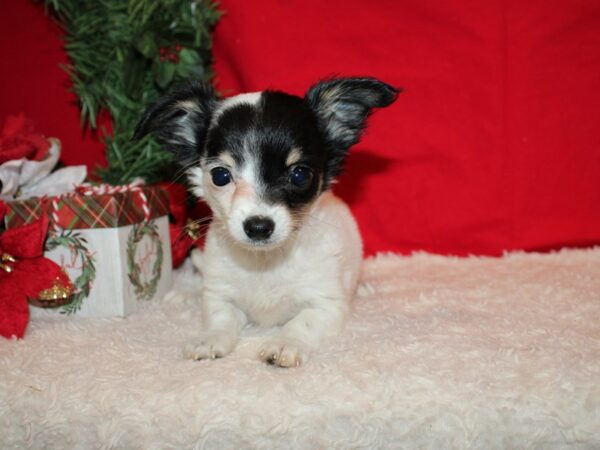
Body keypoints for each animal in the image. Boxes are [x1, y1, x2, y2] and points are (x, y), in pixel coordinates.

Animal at [135, 76, 398, 366]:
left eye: (299, 175)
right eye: (220, 176)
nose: (258, 227)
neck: (266, 263)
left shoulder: (327, 304)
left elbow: (302, 323)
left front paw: (285, 343)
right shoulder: (220, 295)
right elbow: (220, 318)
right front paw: (209, 338)